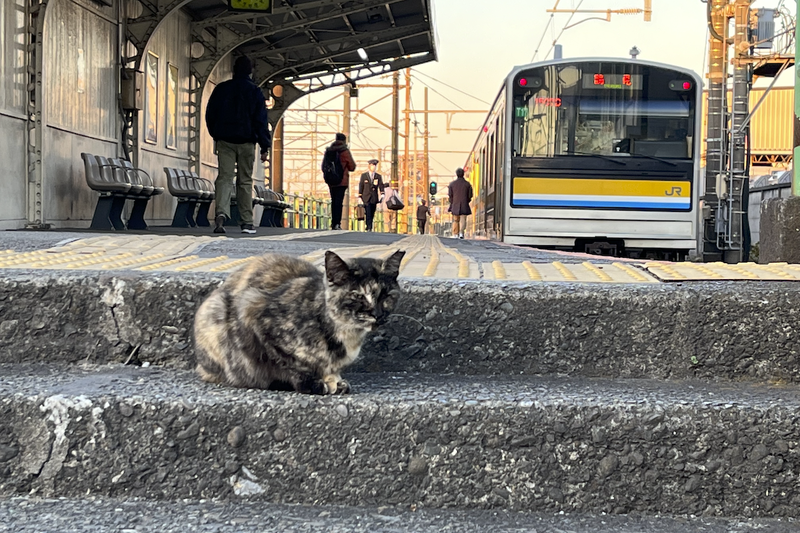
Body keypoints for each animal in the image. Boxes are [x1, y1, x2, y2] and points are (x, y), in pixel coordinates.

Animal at [195, 247, 406, 392]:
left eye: (386, 295)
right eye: (358, 296)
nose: (377, 314)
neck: (347, 335)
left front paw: (334, 379)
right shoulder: (254, 312)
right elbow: (291, 363)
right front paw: (314, 383)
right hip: (217, 314)